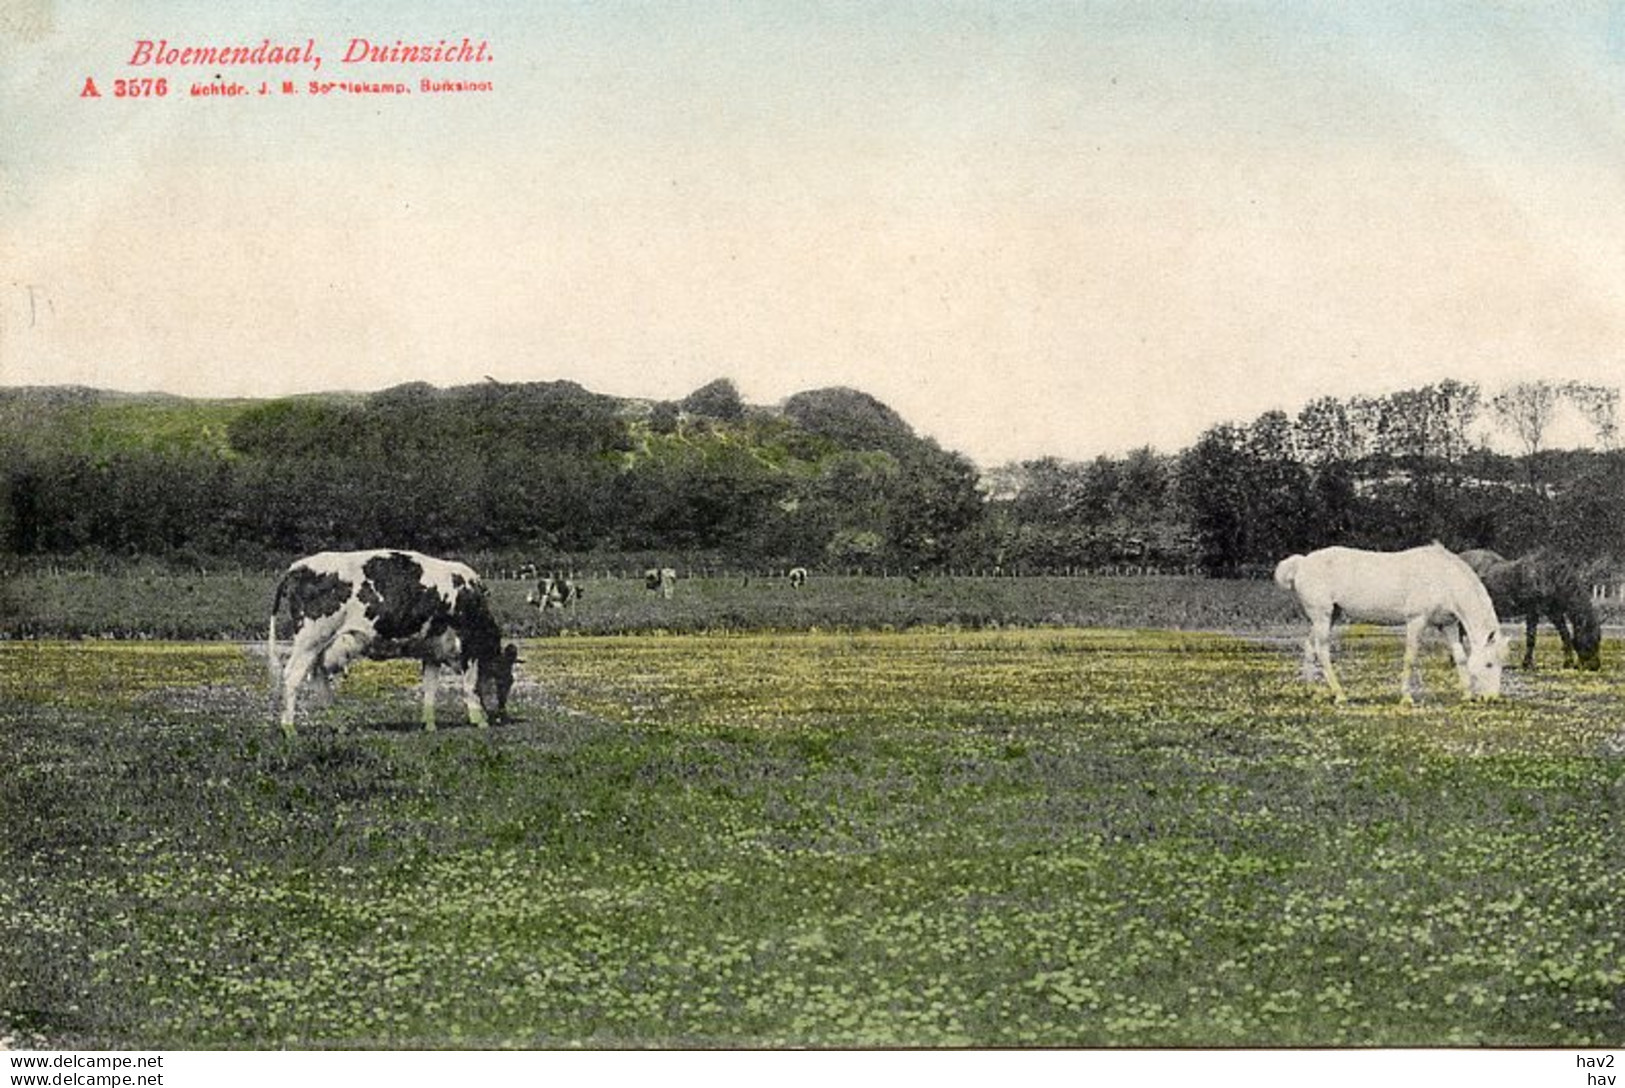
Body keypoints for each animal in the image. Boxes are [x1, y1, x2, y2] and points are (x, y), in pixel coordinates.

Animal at [269, 548, 516, 737]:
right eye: (506, 677)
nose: (501, 716)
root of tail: (298, 566)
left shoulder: (432, 651)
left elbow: (430, 688)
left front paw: (429, 724)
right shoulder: (468, 644)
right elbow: (470, 684)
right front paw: (479, 719)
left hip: (320, 645)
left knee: (318, 678)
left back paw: (339, 726)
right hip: (310, 639)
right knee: (292, 676)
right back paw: (290, 729)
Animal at [1274, 545, 1501, 708]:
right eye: (1489, 664)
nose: (1492, 698)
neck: (1442, 578)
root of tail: (1301, 563)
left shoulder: (1448, 625)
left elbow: (1460, 658)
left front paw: (1467, 694)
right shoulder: (1416, 621)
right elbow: (1410, 658)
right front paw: (1406, 698)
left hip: (1328, 617)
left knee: (1309, 646)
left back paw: (1313, 692)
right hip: (1322, 616)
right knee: (1322, 652)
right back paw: (1340, 695)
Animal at [1462, 548, 1599, 669]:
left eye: (1598, 639)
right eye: (1590, 640)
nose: (1594, 666)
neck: (1548, 575)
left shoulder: (1555, 612)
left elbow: (1565, 634)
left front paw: (1568, 663)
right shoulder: (1534, 611)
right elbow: (1531, 638)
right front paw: (1527, 664)